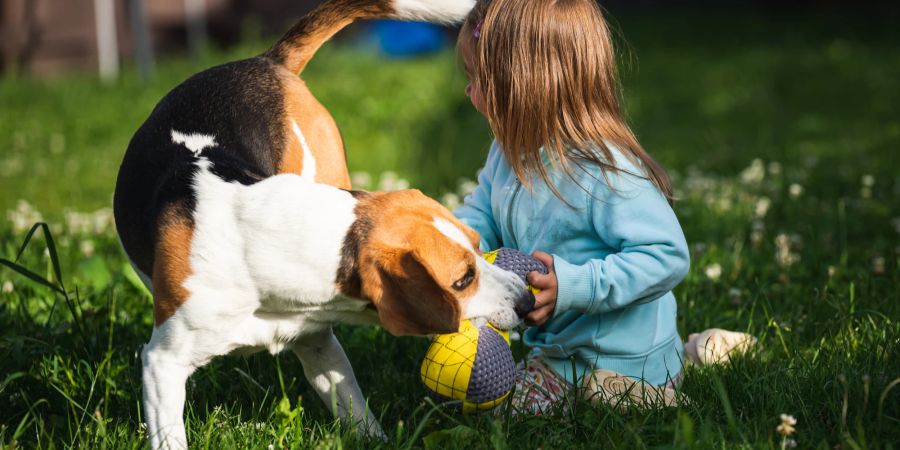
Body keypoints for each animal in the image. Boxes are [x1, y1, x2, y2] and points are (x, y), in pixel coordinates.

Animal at [112, 0, 536, 448]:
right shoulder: (162, 363)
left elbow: (356, 410)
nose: (527, 301)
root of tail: (264, 62)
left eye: (479, 246)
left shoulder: (317, 340)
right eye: (462, 280)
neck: (265, 243)